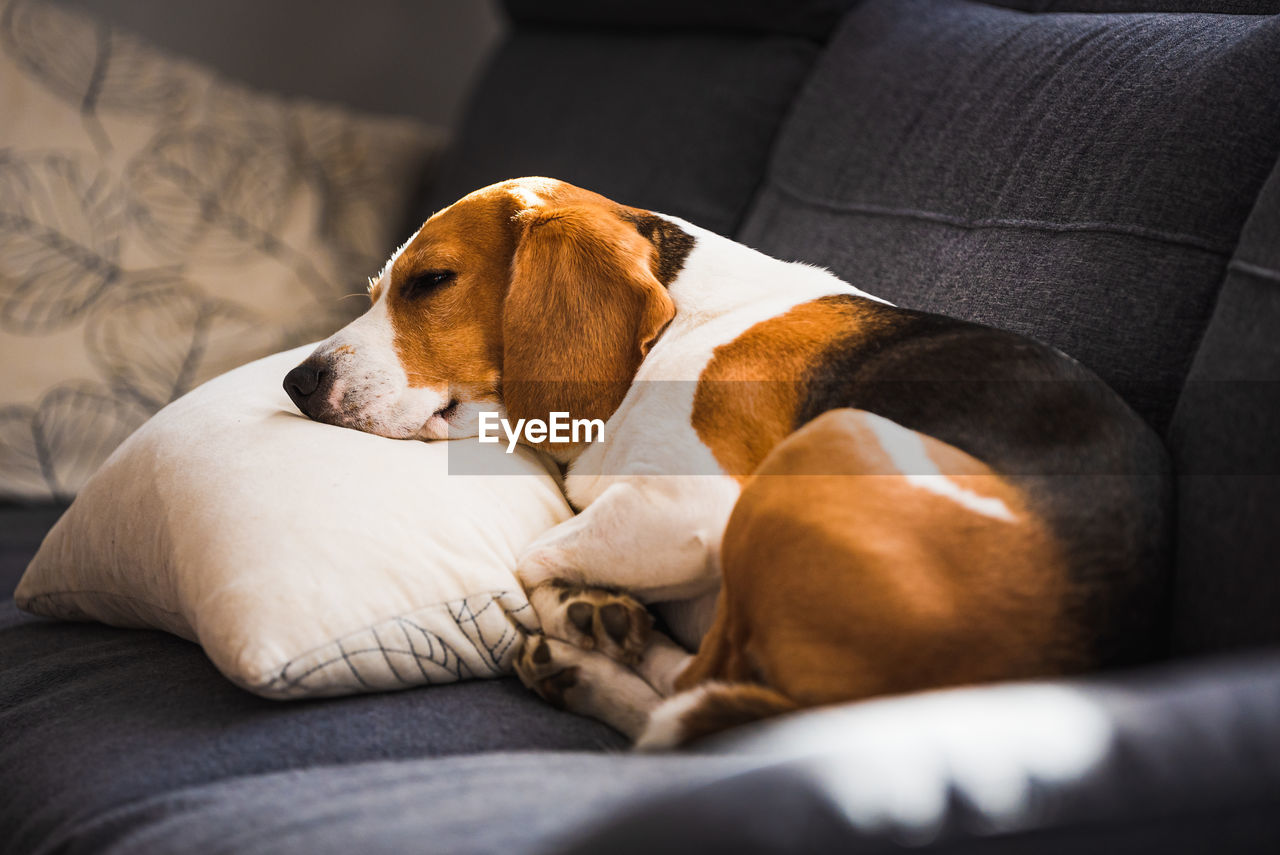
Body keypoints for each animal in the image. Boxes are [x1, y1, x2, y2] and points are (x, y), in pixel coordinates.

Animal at [288, 176, 1172, 742]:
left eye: (431, 281)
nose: (298, 382)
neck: (677, 319)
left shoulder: (695, 505)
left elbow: (533, 555)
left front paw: (580, 606)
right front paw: (591, 611)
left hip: (829, 440)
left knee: (687, 692)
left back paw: (589, 658)